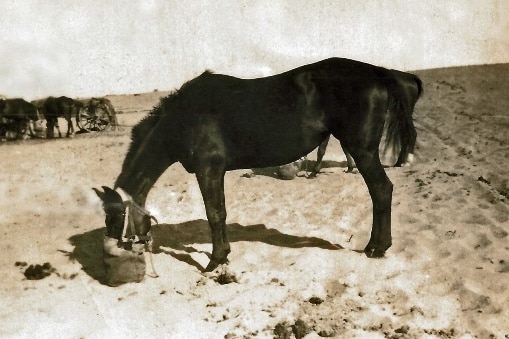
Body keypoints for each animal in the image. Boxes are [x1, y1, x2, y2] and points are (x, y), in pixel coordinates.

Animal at [96, 57, 420, 272]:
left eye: (113, 216)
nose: (109, 254)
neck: (185, 117)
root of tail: (378, 73)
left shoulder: (208, 169)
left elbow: (215, 213)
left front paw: (215, 261)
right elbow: (219, 213)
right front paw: (223, 255)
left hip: (362, 151)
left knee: (381, 191)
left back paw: (376, 247)